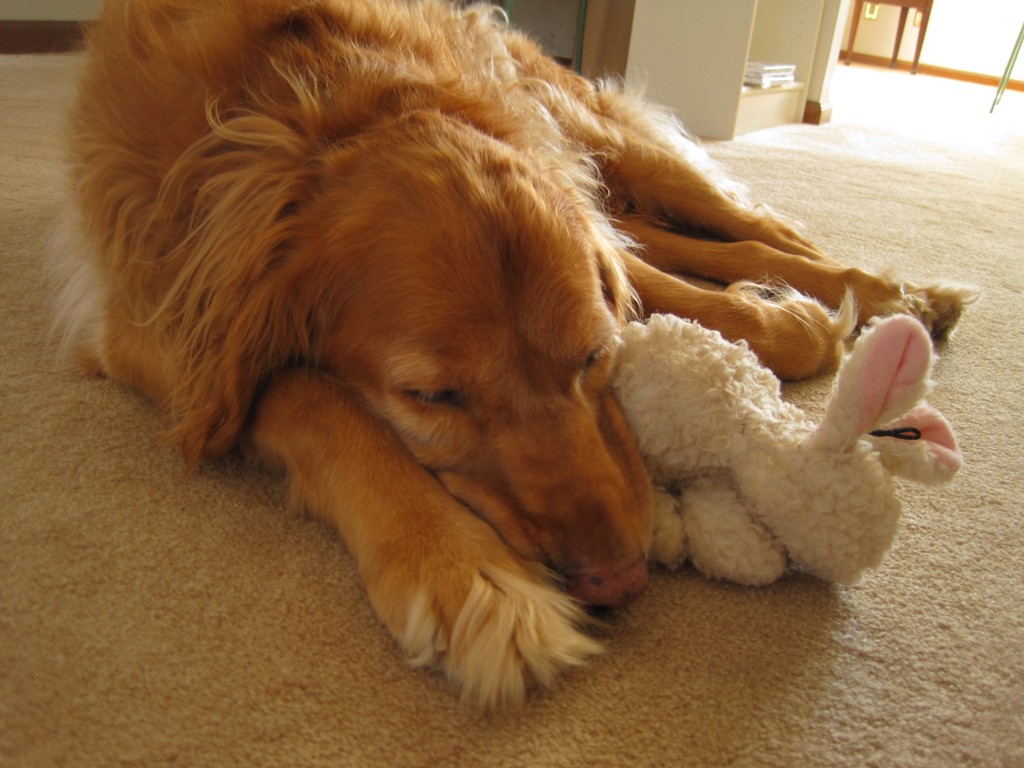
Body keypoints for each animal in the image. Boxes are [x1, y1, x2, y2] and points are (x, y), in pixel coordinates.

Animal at [54, 0, 966, 708]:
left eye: (595, 357)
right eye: (432, 399)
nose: (617, 582)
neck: (304, 106)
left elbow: (687, 293)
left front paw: (804, 321)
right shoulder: (144, 323)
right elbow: (306, 395)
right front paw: (465, 575)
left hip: (597, 134)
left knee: (749, 224)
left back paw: (893, 293)